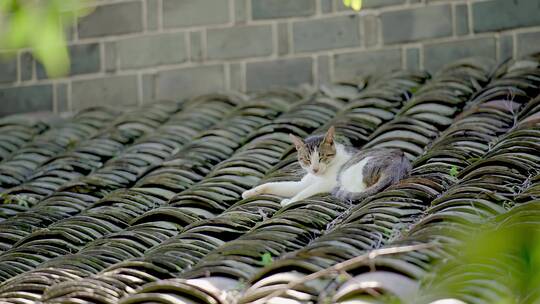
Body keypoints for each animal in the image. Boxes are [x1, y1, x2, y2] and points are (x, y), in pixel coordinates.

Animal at [243, 126, 412, 207]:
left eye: (322, 157)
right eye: (307, 159)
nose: (315, 169)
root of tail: (398, 163)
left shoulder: (326, 183)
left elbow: (304, 192)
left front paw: (289, 202)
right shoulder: (301, 183)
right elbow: (274, 185)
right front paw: (249, 192)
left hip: (351, 171)